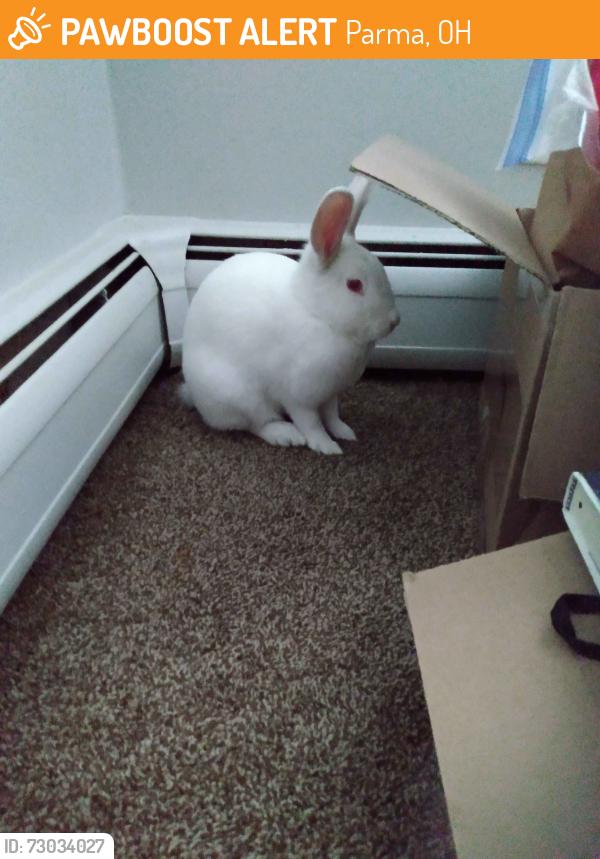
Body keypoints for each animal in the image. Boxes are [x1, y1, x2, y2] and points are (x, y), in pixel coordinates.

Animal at [181, 176, 399, 455]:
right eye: (354, 285)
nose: (394, 321)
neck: (318, 314)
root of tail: (195, 395)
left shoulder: (329, 393)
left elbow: (332, 415)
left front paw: (344, 433)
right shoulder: (298, 396)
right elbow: (311, 423)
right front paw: (326, 446)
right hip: (238, 396)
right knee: (256, 424)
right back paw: (286, 435)